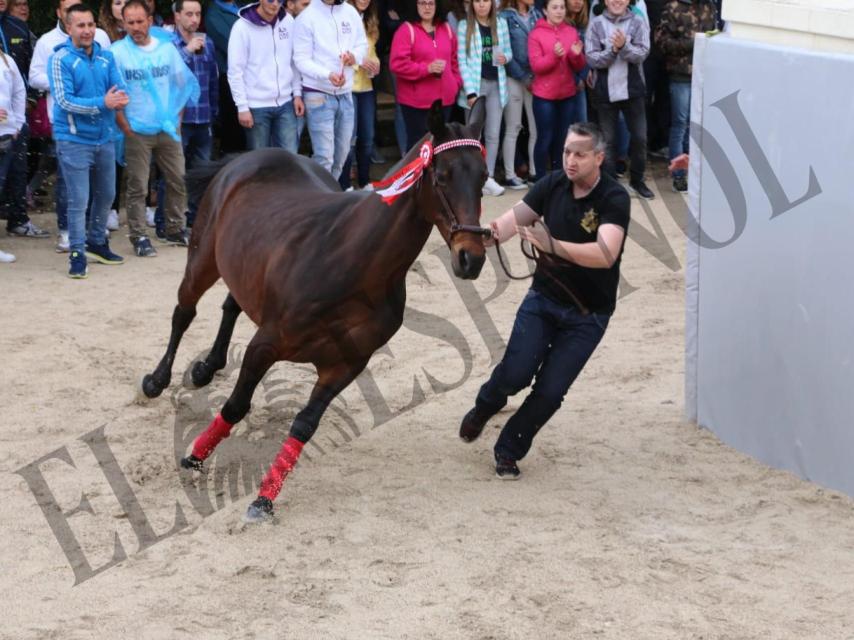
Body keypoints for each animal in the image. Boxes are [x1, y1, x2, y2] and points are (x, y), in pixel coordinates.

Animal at [140, 99, 488, 520]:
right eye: (442, 176)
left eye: (484, 176)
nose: (471, 258)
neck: (353, 263)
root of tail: (252, 156)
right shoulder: (265, 344)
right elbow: (237, 405)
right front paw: (195, 457)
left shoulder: (346, 363)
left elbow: (304, 425)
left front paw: (264, 499)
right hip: (203, 257)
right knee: (184, 311)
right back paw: (158, 379)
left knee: (230, 304)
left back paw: (208, 366)